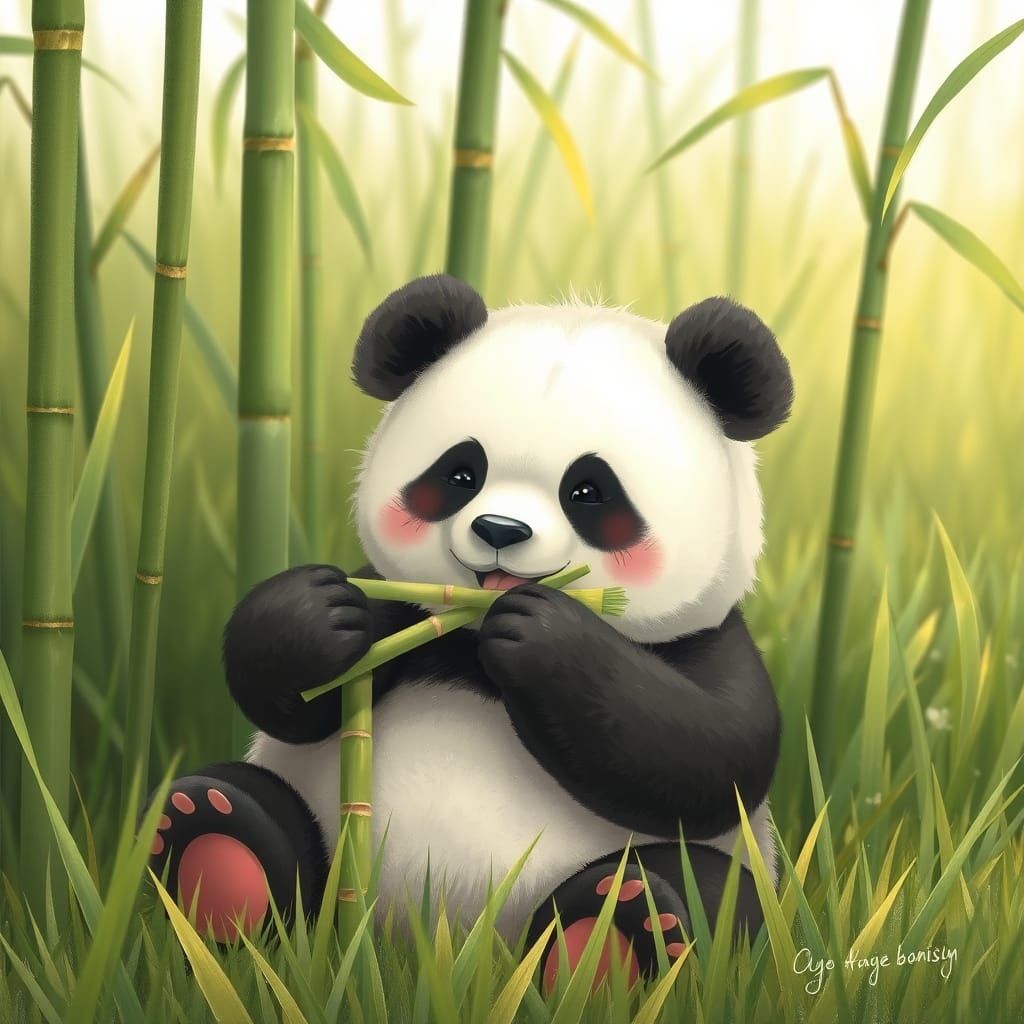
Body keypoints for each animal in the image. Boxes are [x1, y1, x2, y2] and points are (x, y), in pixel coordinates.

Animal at [148, 274, 792, 984]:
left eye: (589, 491)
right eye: (460, 473)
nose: (499, 530)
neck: (472, 642)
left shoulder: (707, 640)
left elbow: (712, 752)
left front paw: (544, 638)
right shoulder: (414, 612)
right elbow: (289, 697)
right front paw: (321, 617)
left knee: (706, 895)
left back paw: (626, 926)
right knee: (273, 831)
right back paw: (211, 838)